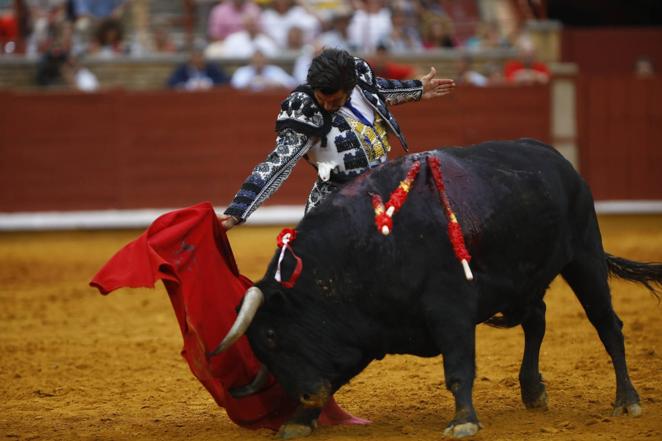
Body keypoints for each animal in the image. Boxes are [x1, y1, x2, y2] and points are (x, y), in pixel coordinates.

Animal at [210, 138, 660, 436]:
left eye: (272, 334)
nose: (304, 396)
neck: (369, 245)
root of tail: (558, 158)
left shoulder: (450, 309)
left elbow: (458, 367)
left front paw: (463, 422)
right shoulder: (363, 330)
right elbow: (337, 373)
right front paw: (298, 423)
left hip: (584, 254)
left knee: (607, 325)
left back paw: (627, 400)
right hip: (525, 278)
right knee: (537, 321)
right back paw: (533, 391)